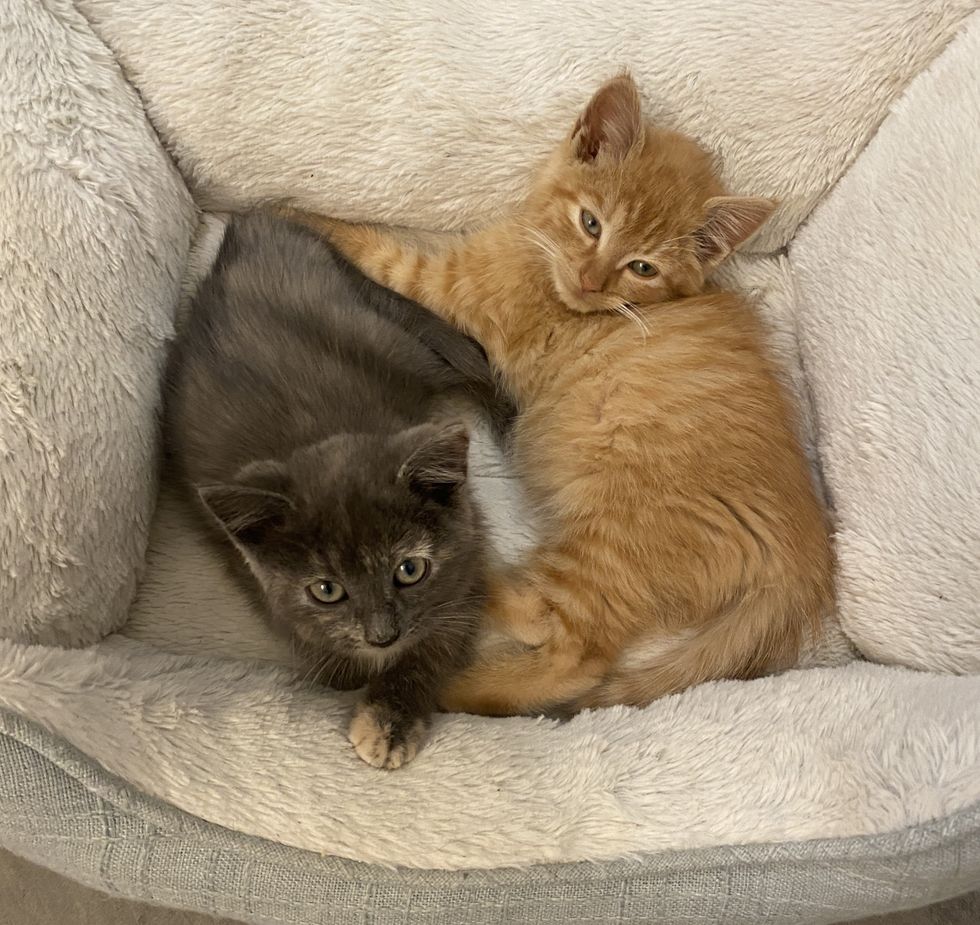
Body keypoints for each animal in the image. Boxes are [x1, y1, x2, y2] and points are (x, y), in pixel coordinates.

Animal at [166, 213, 510, 768]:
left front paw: (390, 720)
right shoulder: (265, 590)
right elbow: (325, 656)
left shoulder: (468, 562)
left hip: (397, 342)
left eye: (410, 570)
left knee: (476, 357)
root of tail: (252, 227)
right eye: (326, 590)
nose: (382, 635)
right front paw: (352, 672)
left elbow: (436, 643)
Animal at [290, 77, 836, 716]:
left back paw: (460, 664)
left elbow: (377, 251)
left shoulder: (447, 284)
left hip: (609, 543)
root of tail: (803, 554)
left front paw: (284, 210)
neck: (547, 269)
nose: (592, 281)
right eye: (591, 224)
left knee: (574, 652)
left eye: (642, 267)